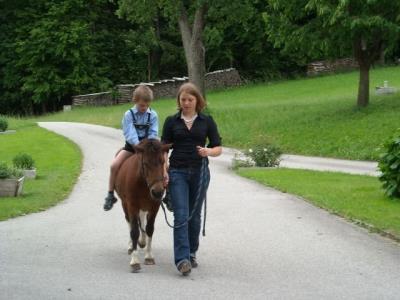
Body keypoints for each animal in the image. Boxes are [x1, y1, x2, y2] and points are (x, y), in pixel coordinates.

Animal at [115, 138, 172, 272]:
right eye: (145, 163)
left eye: (162, 162)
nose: (157, 192)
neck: (143, 183)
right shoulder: (132, 205)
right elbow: (134, 231)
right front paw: (135, 261)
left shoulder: (154, 206)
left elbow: (149, 228)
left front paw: (149, 256)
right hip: (125, 204)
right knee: (130, 222)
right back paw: (131, 246)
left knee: (141, 220)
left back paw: (142, 241)